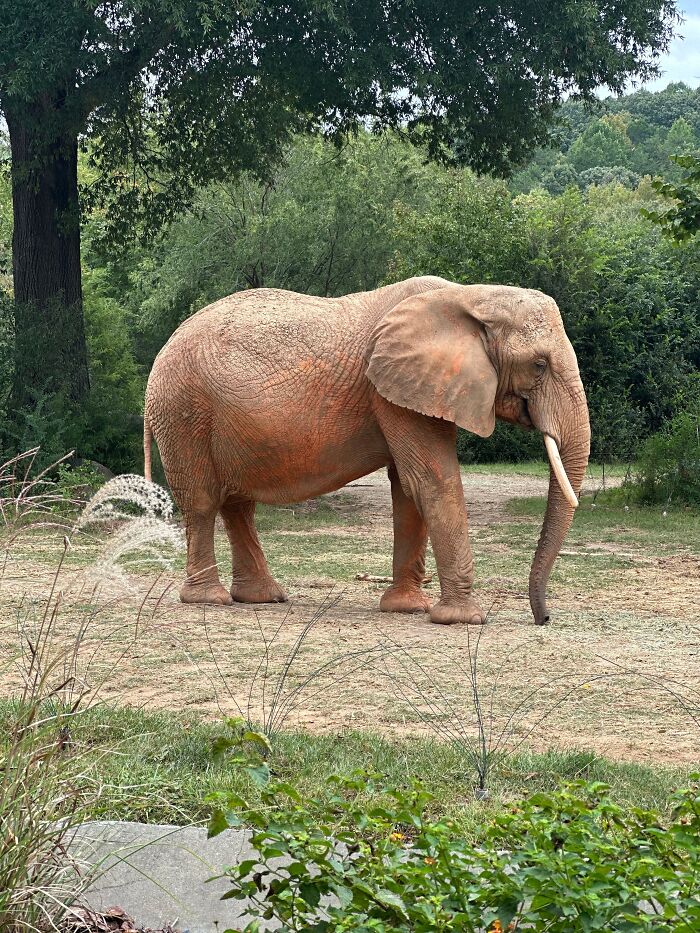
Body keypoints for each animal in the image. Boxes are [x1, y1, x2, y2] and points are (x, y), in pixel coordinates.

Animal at [144, 276, 590, 626]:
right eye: (539, 366)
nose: (544, 618)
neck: (471, 296)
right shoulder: (392, 391)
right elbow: (432, 479)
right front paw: (462, 619)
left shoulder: (410, 389)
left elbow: (408, 488)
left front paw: (407, 609)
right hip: (184, 411)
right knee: (203, 501)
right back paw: (209, 599)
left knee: (238, 505)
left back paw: (263, 597)